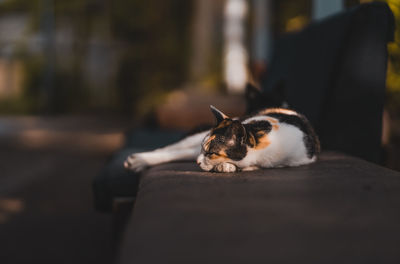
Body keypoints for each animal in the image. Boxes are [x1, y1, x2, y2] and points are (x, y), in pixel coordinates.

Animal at [123, 103, 320, 173]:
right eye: (206, 151)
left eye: (211, 153)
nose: (197, 162)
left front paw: (227, 166)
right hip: (192, 140)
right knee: (172, 149)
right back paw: (138, 160)